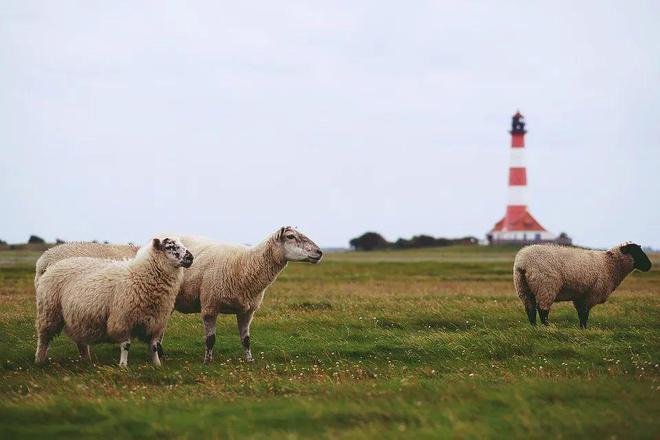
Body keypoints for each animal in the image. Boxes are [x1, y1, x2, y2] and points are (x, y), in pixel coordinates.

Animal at [34, 235, 192, 366]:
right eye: (170, 247)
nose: (190, 257)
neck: (140, 275)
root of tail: (49, 265)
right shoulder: (123, 319)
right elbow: (126, 345)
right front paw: (123, 365)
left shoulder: (156, 322)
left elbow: (153, 346)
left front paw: (157, 365)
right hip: (49, 312)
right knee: (44, 338)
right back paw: (39, 360)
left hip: (77, 316)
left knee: (80, 341)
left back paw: (86, 360)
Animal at [174, 225, 320, 362]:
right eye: (290, 236)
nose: (319, 252)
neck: (244, 263)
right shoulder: (210, 306)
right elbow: (210, 339)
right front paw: (208, 361)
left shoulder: (247, 311)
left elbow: (246, 340)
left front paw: (249, 360)